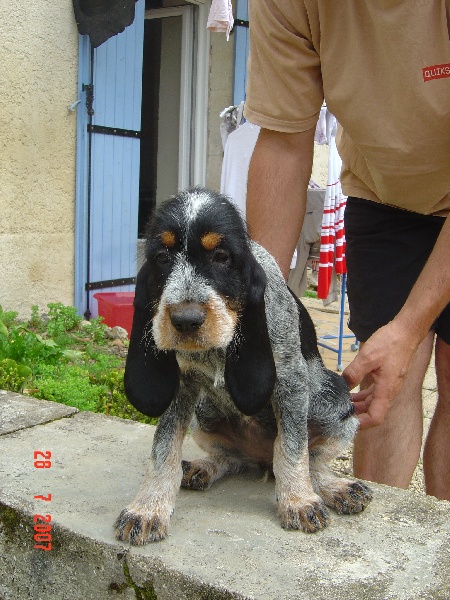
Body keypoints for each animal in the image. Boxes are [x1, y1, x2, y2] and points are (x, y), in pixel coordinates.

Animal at [114, 188, 370, 544]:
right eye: (162, 258)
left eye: (222, 257)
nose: (185, 320)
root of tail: (261, 461)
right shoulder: (179, 388)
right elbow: (163, 450)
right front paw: (148, 508)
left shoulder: (291, 381)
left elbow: (293, 449)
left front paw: (298, 501)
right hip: (205, 414)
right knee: (232, 458)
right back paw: (204, 467)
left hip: (334, 397)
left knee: (313, 461)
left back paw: (334, 487)